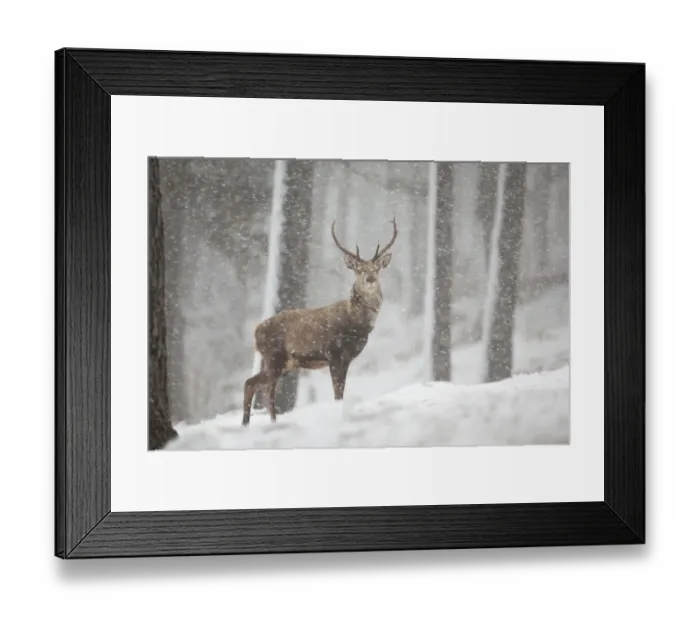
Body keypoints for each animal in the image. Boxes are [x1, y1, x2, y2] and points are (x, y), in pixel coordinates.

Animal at [242, 216, 398, 426]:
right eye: (358, 270)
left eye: (377, 268)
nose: (370, 278)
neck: (356, 324)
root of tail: (256, 331)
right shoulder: (332, 352)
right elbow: (337, 393)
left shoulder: (347, 358)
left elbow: (341, 392)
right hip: (274, 356)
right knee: (268, 391)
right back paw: (273, 422)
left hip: (284, 362)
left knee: (250, 383)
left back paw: (245, 424)